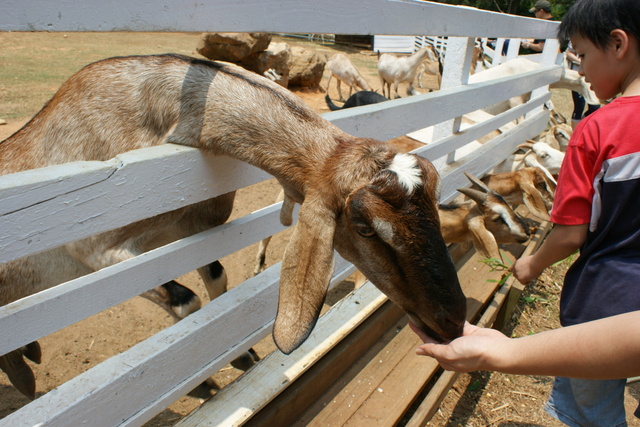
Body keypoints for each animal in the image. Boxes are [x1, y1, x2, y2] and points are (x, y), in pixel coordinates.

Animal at [1, 53, 470, 398]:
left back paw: (27, 360)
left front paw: (243, 358)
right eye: (365, 226)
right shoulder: (97, 247)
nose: (453, 321)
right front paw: (206, 383)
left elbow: (217, 279)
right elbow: (187, 301)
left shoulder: (186, 231)